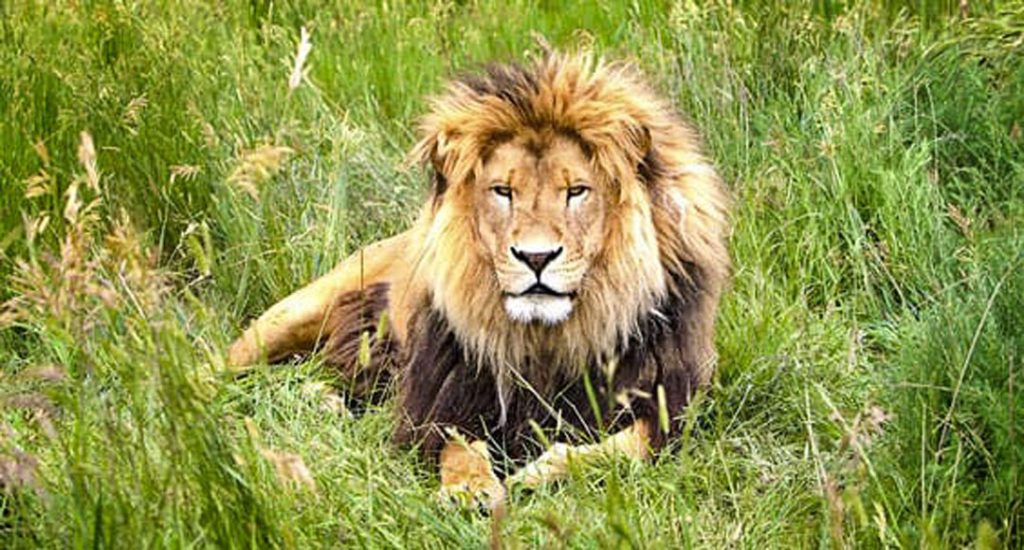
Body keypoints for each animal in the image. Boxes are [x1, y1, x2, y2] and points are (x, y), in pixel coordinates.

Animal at [228, 49, 733, 508]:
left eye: (576, 191)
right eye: (503, 192)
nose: (535, 257)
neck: (549, 338)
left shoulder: (669, 402)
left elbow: (625, 448)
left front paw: (541, 472)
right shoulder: (451, 395)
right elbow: (458, 446)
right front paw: (468, 490)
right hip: (292, 316)